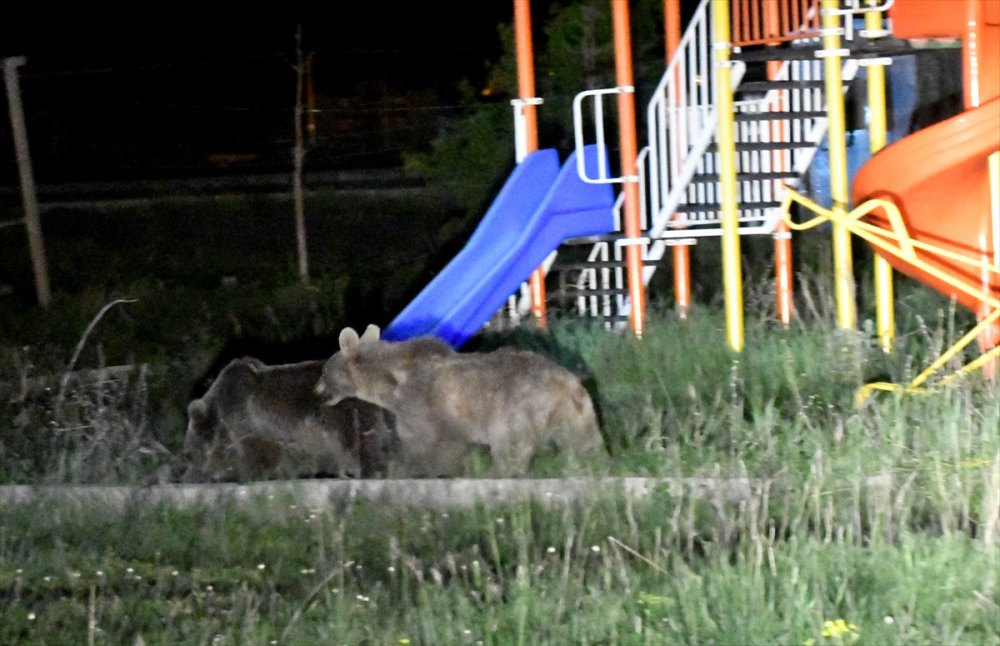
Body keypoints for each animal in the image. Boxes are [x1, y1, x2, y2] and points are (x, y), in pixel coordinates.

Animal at [184, 356, 390, 484]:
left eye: (190, 452)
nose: (190, 476)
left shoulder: (249, 422)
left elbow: (257, 452)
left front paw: (246, 474)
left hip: (341, 412)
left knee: (355, 440)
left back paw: (364, 471)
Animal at [316, 326, 604, 478]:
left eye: (325, 371)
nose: (316, 390)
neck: (390, 383)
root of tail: (566, 382)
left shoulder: (423, 406)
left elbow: (427, 445)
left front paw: (404, 468)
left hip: (515, 409)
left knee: (509, 446)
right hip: (578, 413)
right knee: (584, 444)